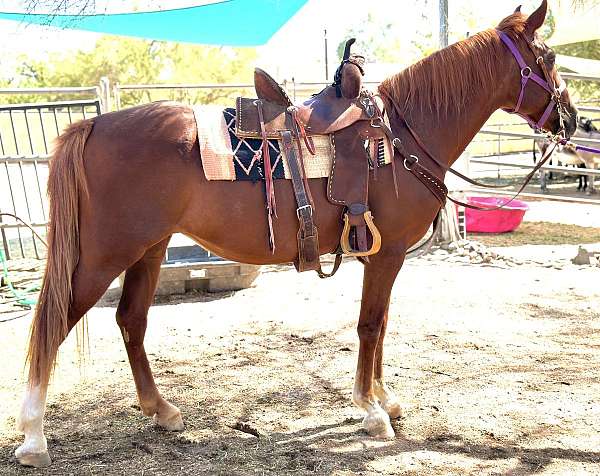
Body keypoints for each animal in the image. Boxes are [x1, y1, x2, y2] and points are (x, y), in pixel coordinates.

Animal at [15, 0, 576, 468]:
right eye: (548, 57)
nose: (572, 119)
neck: (402, 135)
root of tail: (92, 126)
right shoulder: (387, 254)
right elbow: (369, 326)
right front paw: (371, 410)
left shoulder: (385, 258)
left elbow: (382, 326)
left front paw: (385, 399)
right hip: (102, 255)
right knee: (52, 323)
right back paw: (33, 437)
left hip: (149, 249)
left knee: (131, 320)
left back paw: (163, 410)